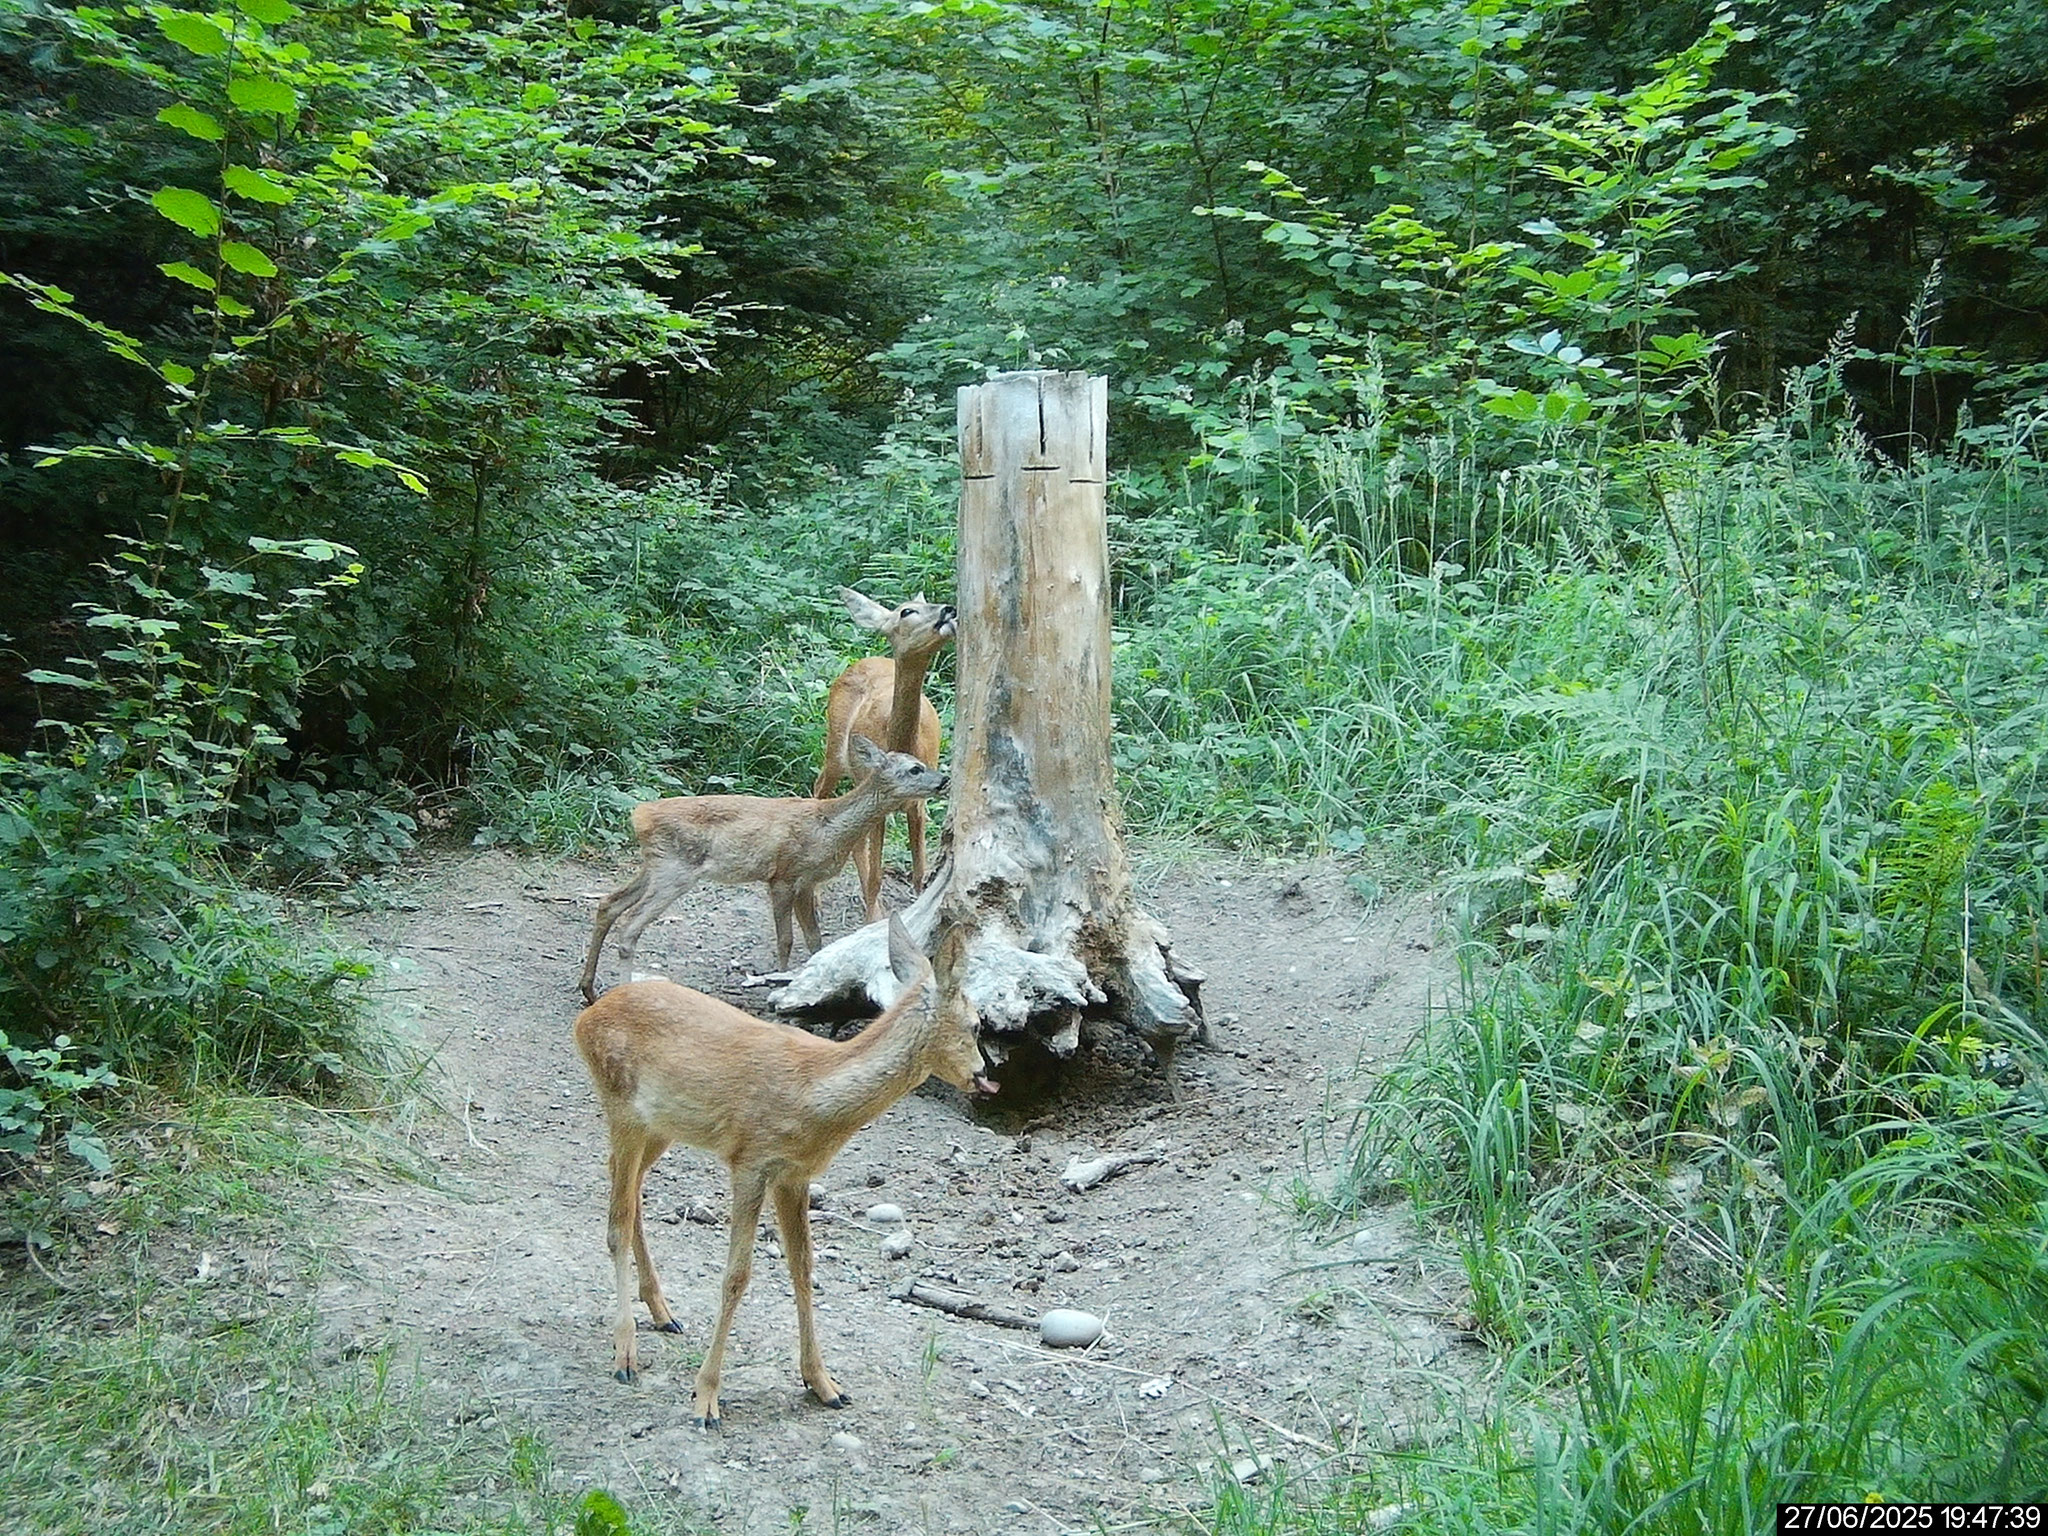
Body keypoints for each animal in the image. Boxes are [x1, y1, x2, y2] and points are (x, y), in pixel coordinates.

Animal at [573, 915, 997, 1426]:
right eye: (977, 1024)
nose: (984, 1077)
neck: (814, 1093)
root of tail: (584, 1020)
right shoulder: (751, 1162)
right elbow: (736, 1276)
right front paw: (706, 1398)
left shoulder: (794, 1175)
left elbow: (803, 1268)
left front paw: (824, 1384)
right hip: (621, 1107)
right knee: (617, 1219)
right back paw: (626, 1354)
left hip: (661, 1126)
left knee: (627, 1188)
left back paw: (662, 1311)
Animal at [579, 736, 946, 1004]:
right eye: (915, 769)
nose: (943, 778)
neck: (828, 827)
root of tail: (639, 816)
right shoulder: (783, 875)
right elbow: (785, 939)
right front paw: (778, 979)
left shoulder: (807, 882)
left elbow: (815, 940)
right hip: (675, 870)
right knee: (629, 926)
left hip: (655, 866)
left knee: (608, 904)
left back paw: (590, 990)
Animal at [812, 588, 956, 923]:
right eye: (906, 611)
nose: (949, 609)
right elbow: (877, 875)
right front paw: (870, 920)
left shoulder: (918, 804)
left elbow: (919, 874)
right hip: (834, 751)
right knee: (819, 789)